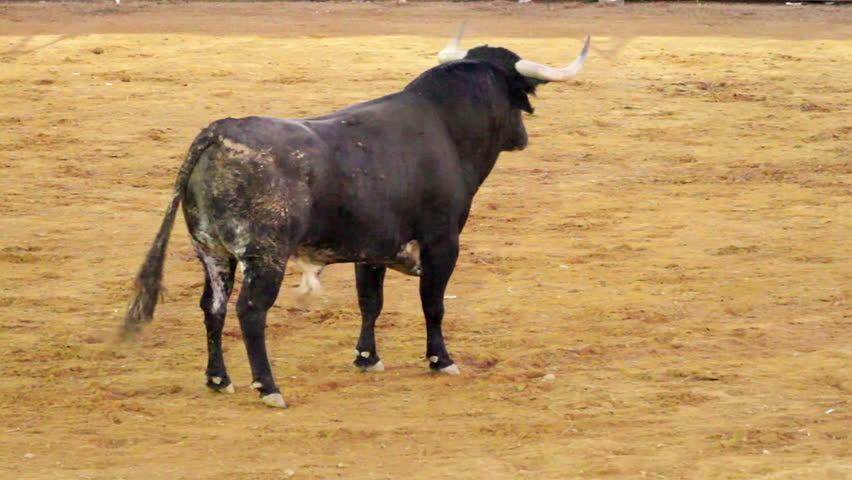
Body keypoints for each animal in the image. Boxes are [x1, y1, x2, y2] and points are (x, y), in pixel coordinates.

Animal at [122, 27, 590, 408]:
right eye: (520, 94)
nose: (523, 138)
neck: (445, 127)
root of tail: (218, 132)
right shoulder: (443, 241)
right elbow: (433, 303)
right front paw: (441, 360)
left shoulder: (374, 246)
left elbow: (370, 301)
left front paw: (367, 357)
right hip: (266, 255)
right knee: (250, 312)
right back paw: (269, 388)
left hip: (212, 252)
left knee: (212, 307)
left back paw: (219, 380)